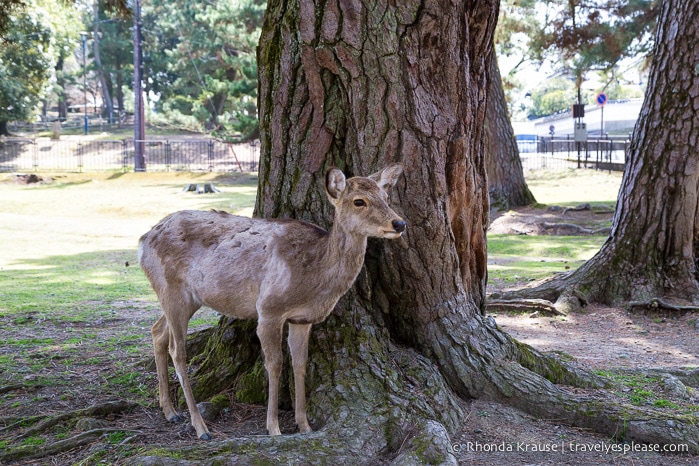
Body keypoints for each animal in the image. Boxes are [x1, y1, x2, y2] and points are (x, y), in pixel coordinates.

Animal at [137, 165, 408, 440]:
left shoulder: (302, 319)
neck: (314, 280)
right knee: (177, 350)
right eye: (359, 201)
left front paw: (305, 425)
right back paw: (200, 427)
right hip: (172, 290)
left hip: (184, 297)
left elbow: (300, 363)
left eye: (386, 198)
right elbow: (275, 364)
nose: (399, 223)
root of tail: (143, 241)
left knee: (157, 331)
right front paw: (274, 428)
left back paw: (170, 411)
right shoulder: (269, 309)